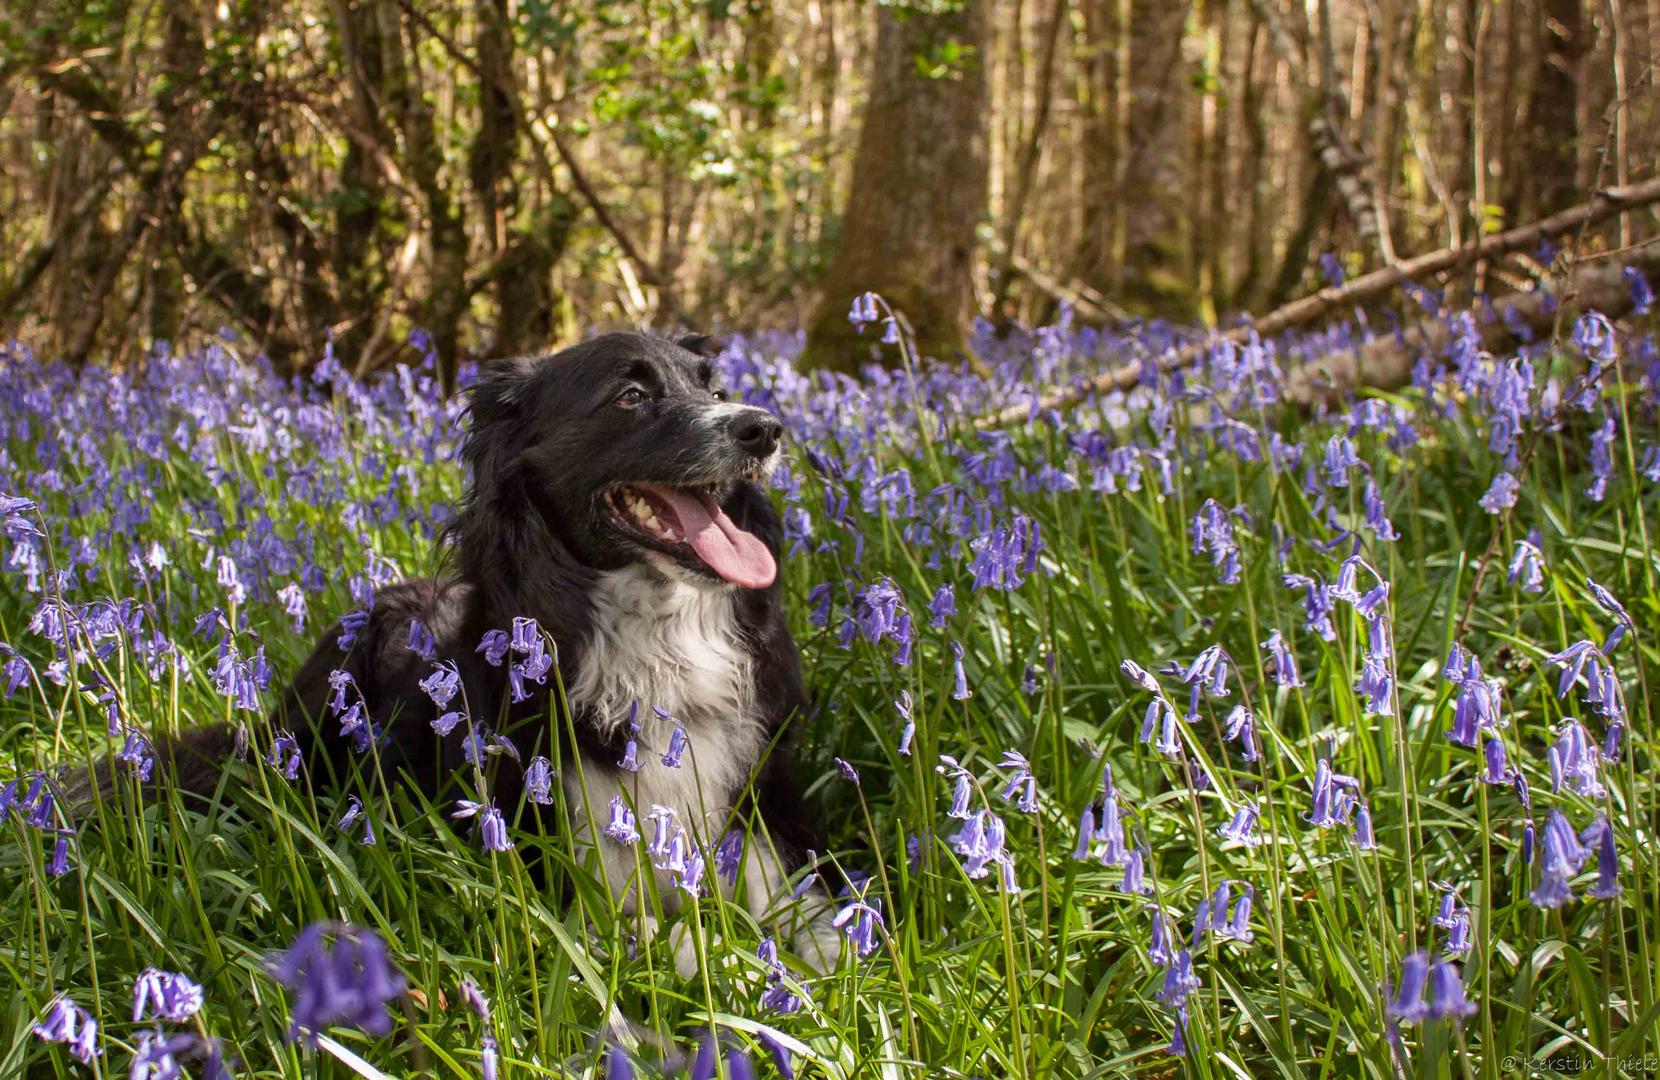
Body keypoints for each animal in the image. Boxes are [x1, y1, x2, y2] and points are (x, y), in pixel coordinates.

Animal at [160, 330, 836, 968]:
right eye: (630, 396)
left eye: (715, 390)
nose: (765, 428)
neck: (659, 647)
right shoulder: (567, 876)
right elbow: (681, 942)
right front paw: (744, 967)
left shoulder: (757, 808)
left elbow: (809, 910)